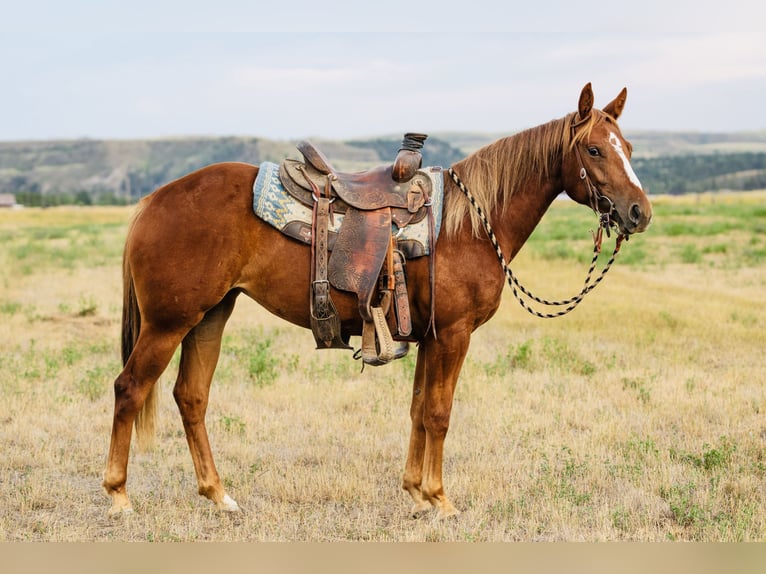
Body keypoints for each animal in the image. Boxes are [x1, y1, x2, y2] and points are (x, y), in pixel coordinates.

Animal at [103, 83, 652, 519]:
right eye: (595, 151)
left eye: (627, 146)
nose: (639, 212)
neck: (470, 225)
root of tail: (154, 199)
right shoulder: (453, 335)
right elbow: (439, 413)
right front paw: (441, 499)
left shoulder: (429, 336)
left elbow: (418, 409)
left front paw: (415, 491)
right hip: (168, 323)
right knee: (130, 388)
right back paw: (118, 495)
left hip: (209, 316)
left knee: (191, 397)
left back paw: (218, 495)